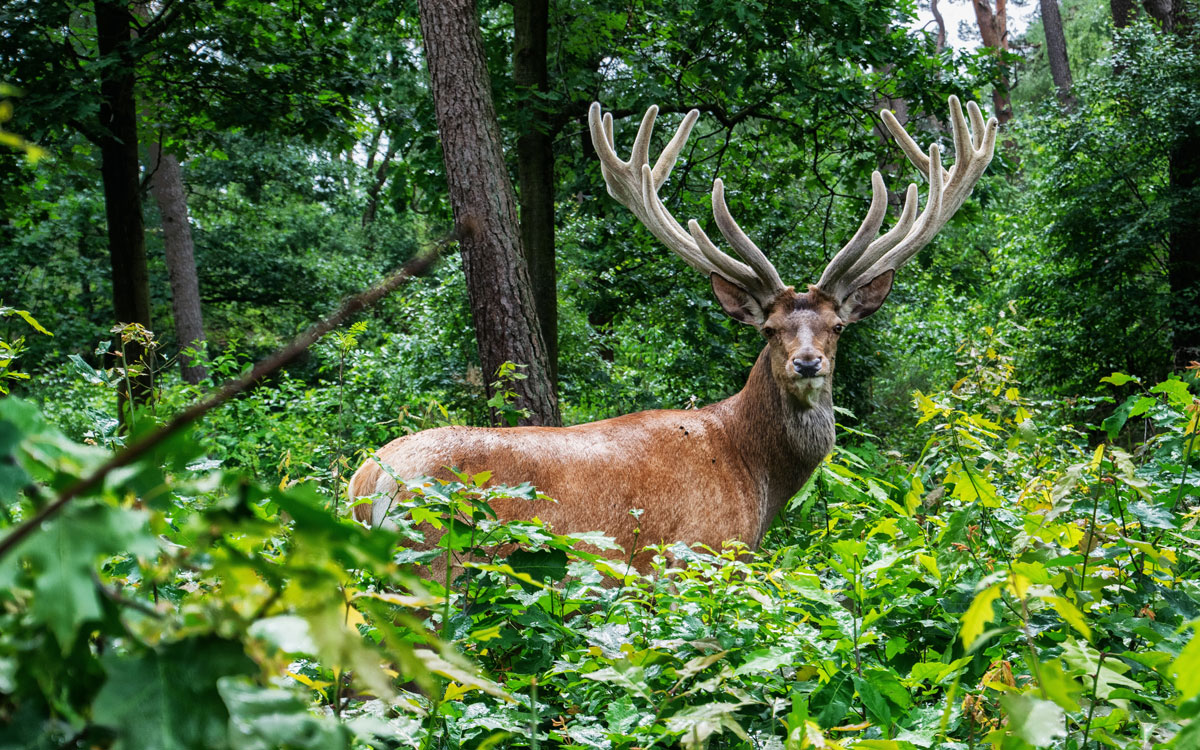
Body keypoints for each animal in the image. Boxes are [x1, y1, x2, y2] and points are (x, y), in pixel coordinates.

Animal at [350, 96, 998, 571]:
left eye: (837, 326)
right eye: (769, 329)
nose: (808, 363)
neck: (754, 474)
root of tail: (362, 486)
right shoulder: (696, 553)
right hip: (435, 562)